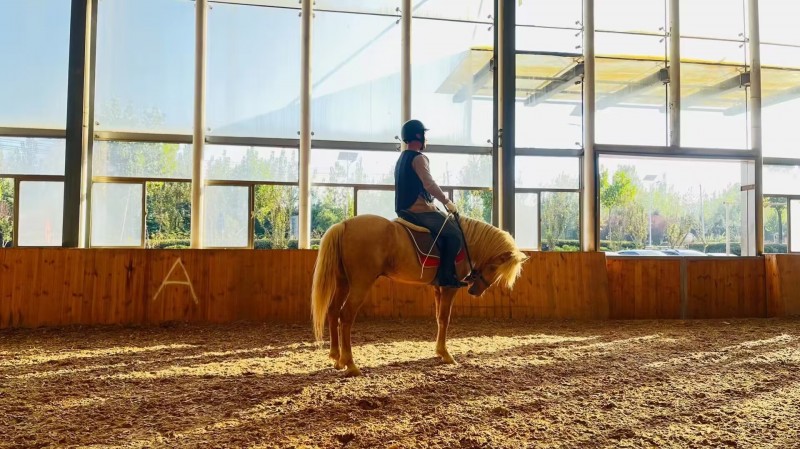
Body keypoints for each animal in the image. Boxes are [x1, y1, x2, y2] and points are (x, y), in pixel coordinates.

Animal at [310, 212, 528, 376]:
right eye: (494, 267)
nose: (474, 290)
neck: (466, 240)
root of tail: (344, 224)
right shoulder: (449, 288)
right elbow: (445, 318)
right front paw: (446, 355)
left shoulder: (439, 288)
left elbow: (439, 319)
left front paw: (439, 352)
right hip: (360, 284)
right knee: (345, 316)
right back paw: (351, 364)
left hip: (343, 282)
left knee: (333, 311)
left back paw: (337, 358)